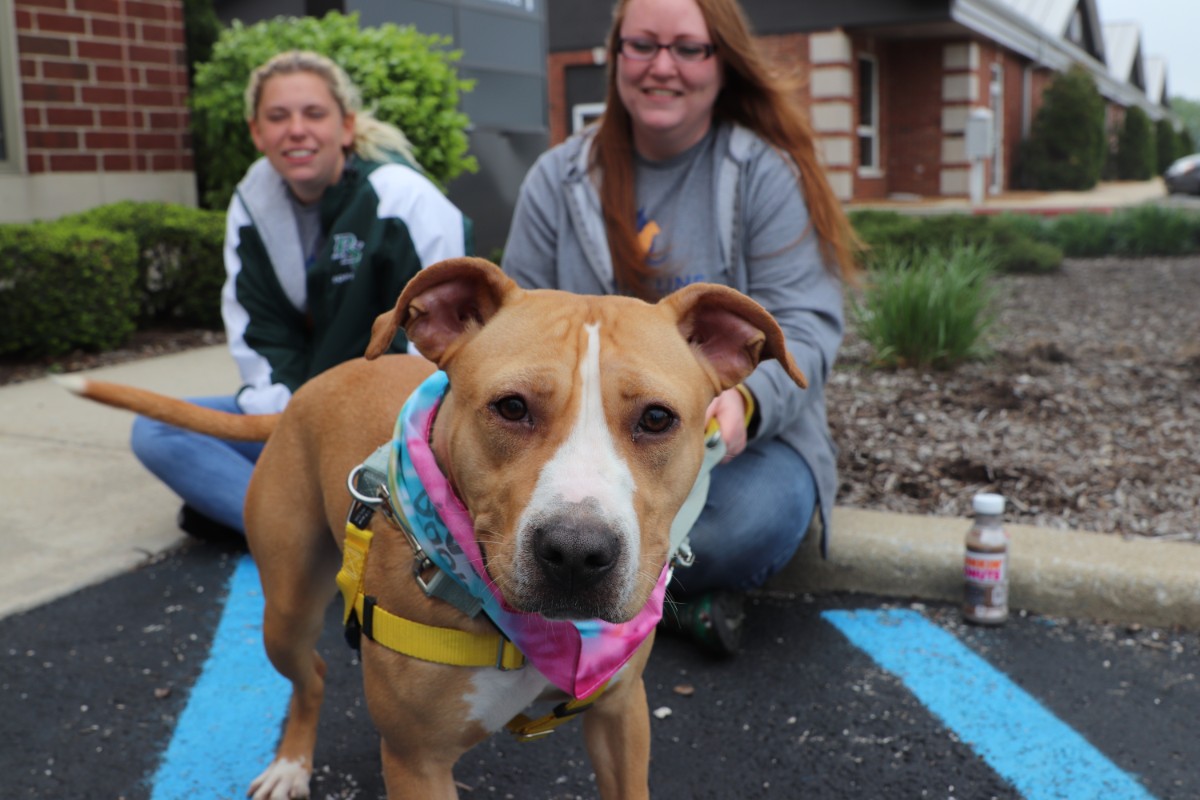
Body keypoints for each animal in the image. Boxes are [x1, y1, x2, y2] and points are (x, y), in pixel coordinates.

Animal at [60, 257, 801, 800]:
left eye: (656, 419)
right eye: (510, 407)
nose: (575, 553)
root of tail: (308, 387)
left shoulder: (621, 720)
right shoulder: (417, 764)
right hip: (286, 608)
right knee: (312, 672)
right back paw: (292, 763)